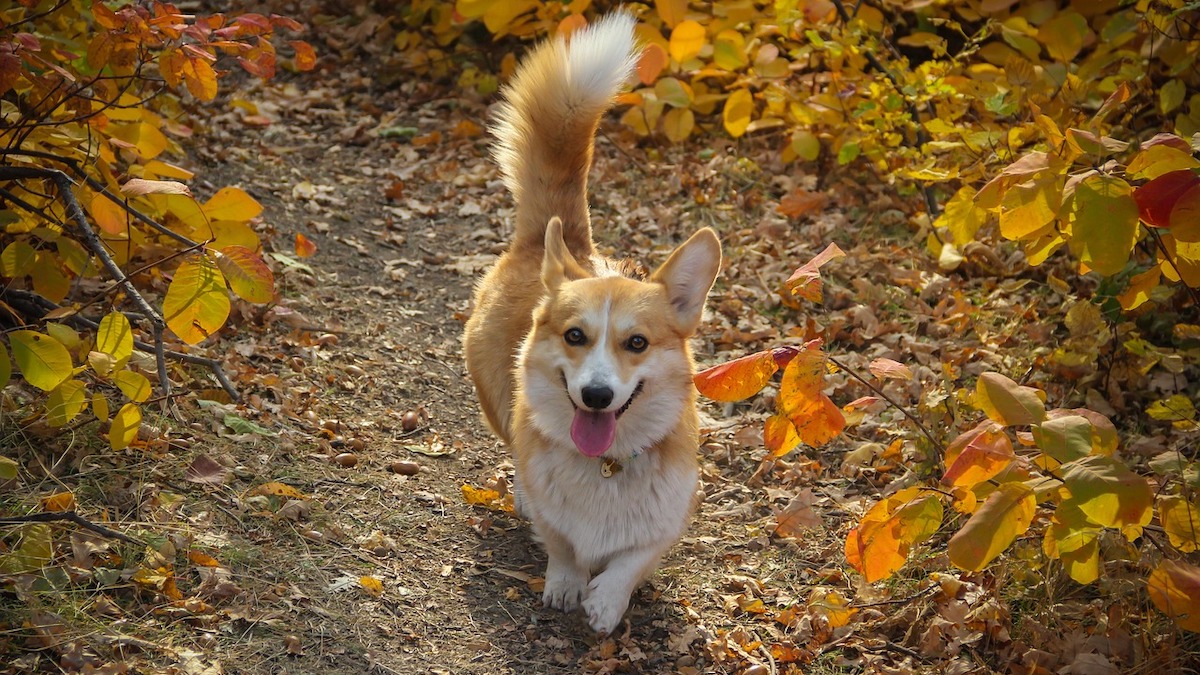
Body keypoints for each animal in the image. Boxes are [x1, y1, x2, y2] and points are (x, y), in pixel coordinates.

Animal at [460, 13, 720, 634]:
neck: (605, 465)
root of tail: (556, 242)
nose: (597, 396)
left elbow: (632, 558)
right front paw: (567, 584)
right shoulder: (556, 519)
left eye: (637, 343)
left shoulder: (668, 519)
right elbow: (561, 543)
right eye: (575, 335)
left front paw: (606, 600)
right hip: (495, 397)